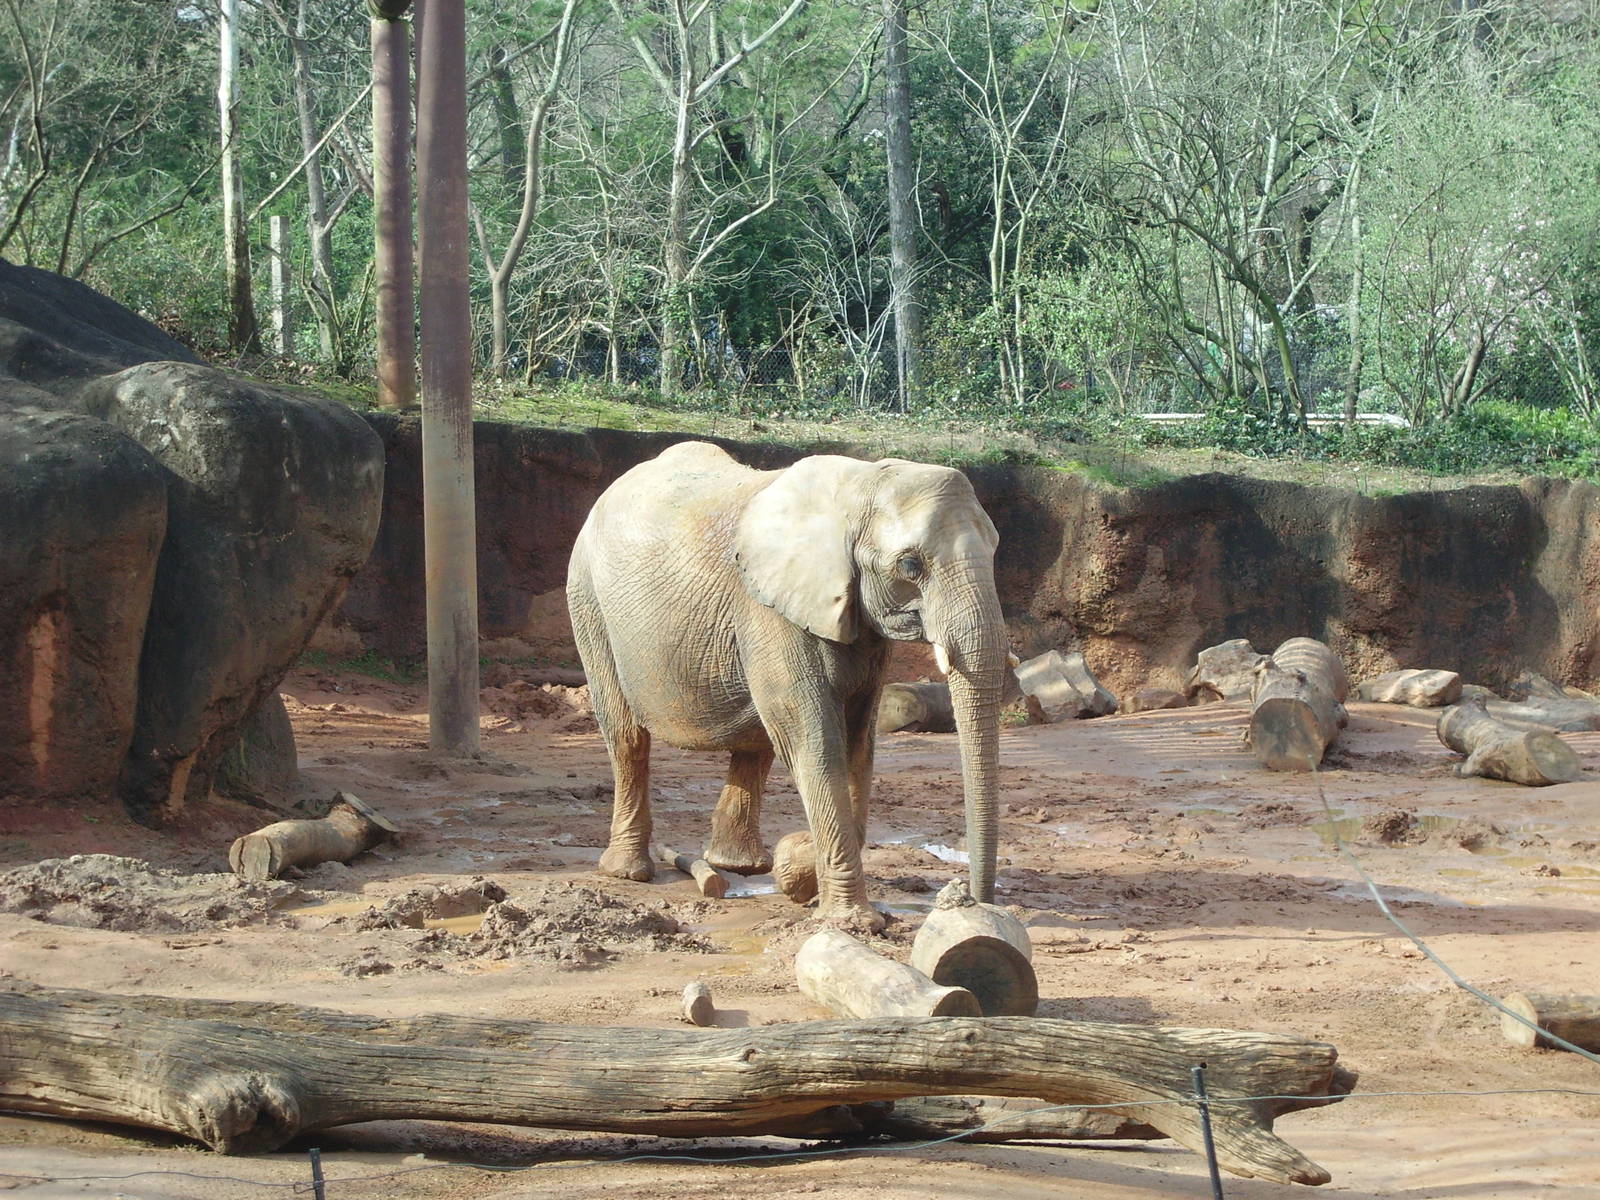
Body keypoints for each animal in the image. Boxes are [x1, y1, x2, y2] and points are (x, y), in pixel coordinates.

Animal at [566, 441, 1007, 930]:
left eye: (995, 551)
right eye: (910, 565)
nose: (978, 901)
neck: (860, 483)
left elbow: (858, 739)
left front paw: (801, 875)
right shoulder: (767, 609)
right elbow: (815, 736)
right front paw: (852, 920)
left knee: (756, 742)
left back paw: (740, 867)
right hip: (588, 599)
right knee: (628, 736)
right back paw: (629, 872)